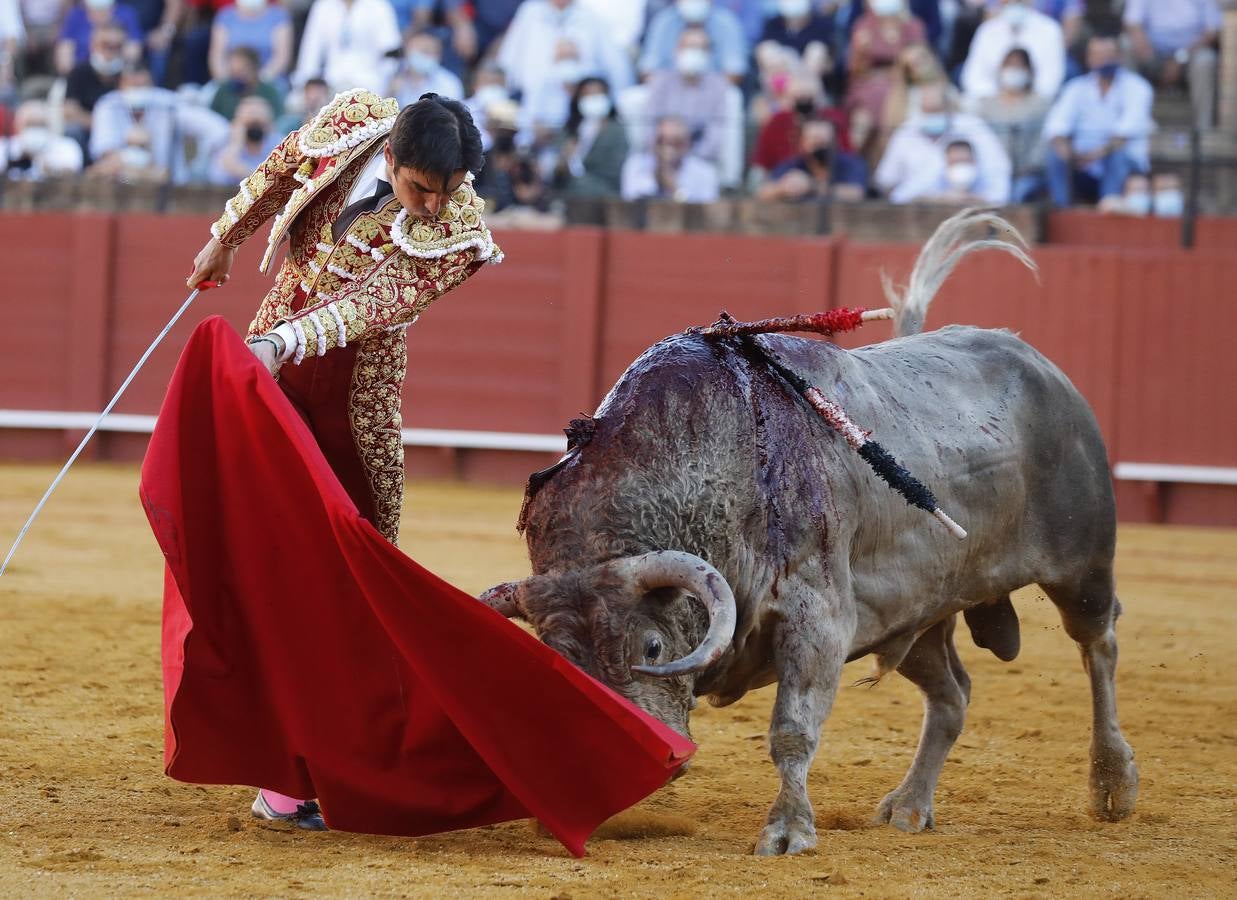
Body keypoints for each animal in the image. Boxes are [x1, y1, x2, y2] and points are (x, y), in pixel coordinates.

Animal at [477, 207, 1133, 855]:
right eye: (561, 662)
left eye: (653, 648)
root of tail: (1040, 365)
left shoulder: (816, 615)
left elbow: (791, 728)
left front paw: (788, 830)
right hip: (912, 612)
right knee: (952, 695)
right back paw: (910, 805)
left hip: (1082, 564)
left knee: (1098, 645)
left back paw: (1112, 784)